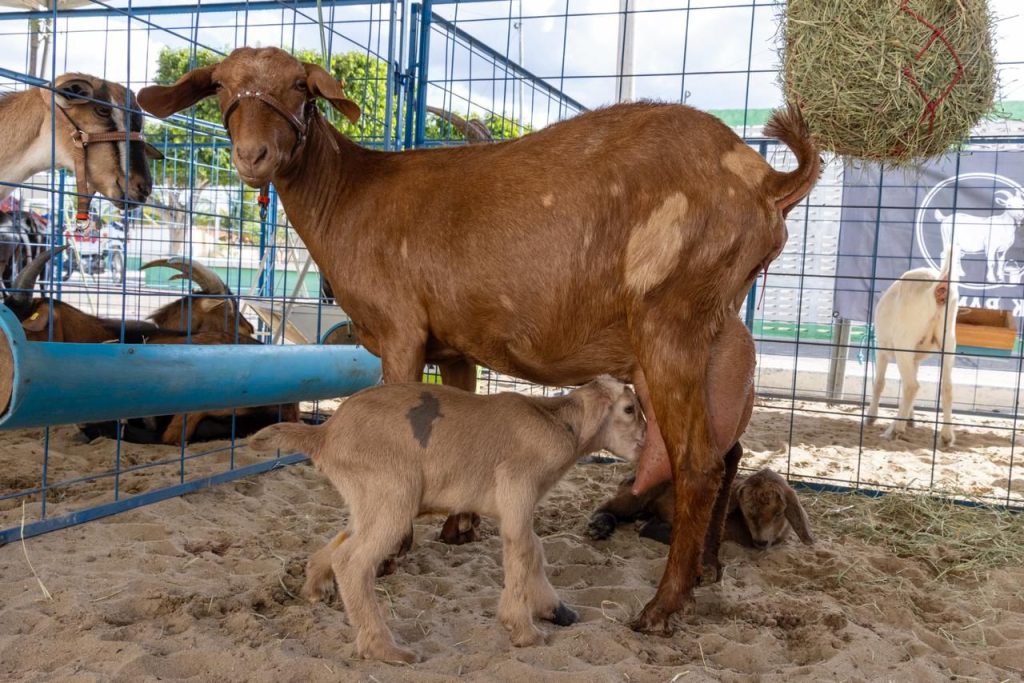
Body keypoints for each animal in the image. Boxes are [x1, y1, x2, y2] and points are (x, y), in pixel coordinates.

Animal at [138, 46, 820, 633]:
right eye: (221, 86)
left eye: (300, 88)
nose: (252, 155)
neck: (351, 196)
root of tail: (766, 181)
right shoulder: (454, 343)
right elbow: (457, 411)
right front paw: (459, 527)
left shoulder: (400, 331)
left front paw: (395, 551)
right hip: (710, 341)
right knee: (728, 452)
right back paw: (708, 571)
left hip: (670, 322)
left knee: (697, 462)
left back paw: (661, 607)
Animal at [249, 376, 644, 662]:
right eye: (629, 408)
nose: (644, 444)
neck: (559, 422)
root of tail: (325, 434)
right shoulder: (517, 487)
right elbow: (523, 551)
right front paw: (524, 630)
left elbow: (534, 548)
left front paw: (556, 610)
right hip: (393, 495)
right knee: (352, 560)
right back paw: (385, 649)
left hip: (371, 500)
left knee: (341, 542)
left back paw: (316, 589)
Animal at [866, 251, 959, 446]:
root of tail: (937, 287)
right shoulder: (914, 357)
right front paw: (911, 418)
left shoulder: (882, 349)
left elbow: (879, 382)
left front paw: (871, 417)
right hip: (949, 341)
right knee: (947, 387)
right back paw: (947, 436)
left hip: (904, 341)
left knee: (911, 386)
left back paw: (894, 430)